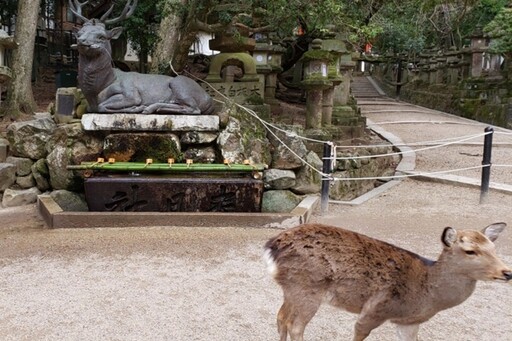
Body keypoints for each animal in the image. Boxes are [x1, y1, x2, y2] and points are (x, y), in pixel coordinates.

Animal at [68, 0, 214, 115]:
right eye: (79, 34)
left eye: (101, 36)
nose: (81, 41)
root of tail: (209, 99)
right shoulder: (90, 105)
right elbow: (92, 108)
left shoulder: (130, 93)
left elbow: (102, 106)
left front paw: (136, 107)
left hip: (180, 84)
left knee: (194, 109)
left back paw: (150, 108)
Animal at [264, 222, 512, 338]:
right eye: (470, 251)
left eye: (493, 248)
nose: (507, 272)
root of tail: (272, 246)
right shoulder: (376, 309)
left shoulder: (408, 322)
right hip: (308, 288)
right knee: (295, 326)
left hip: (292, 288)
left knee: (281, 317)